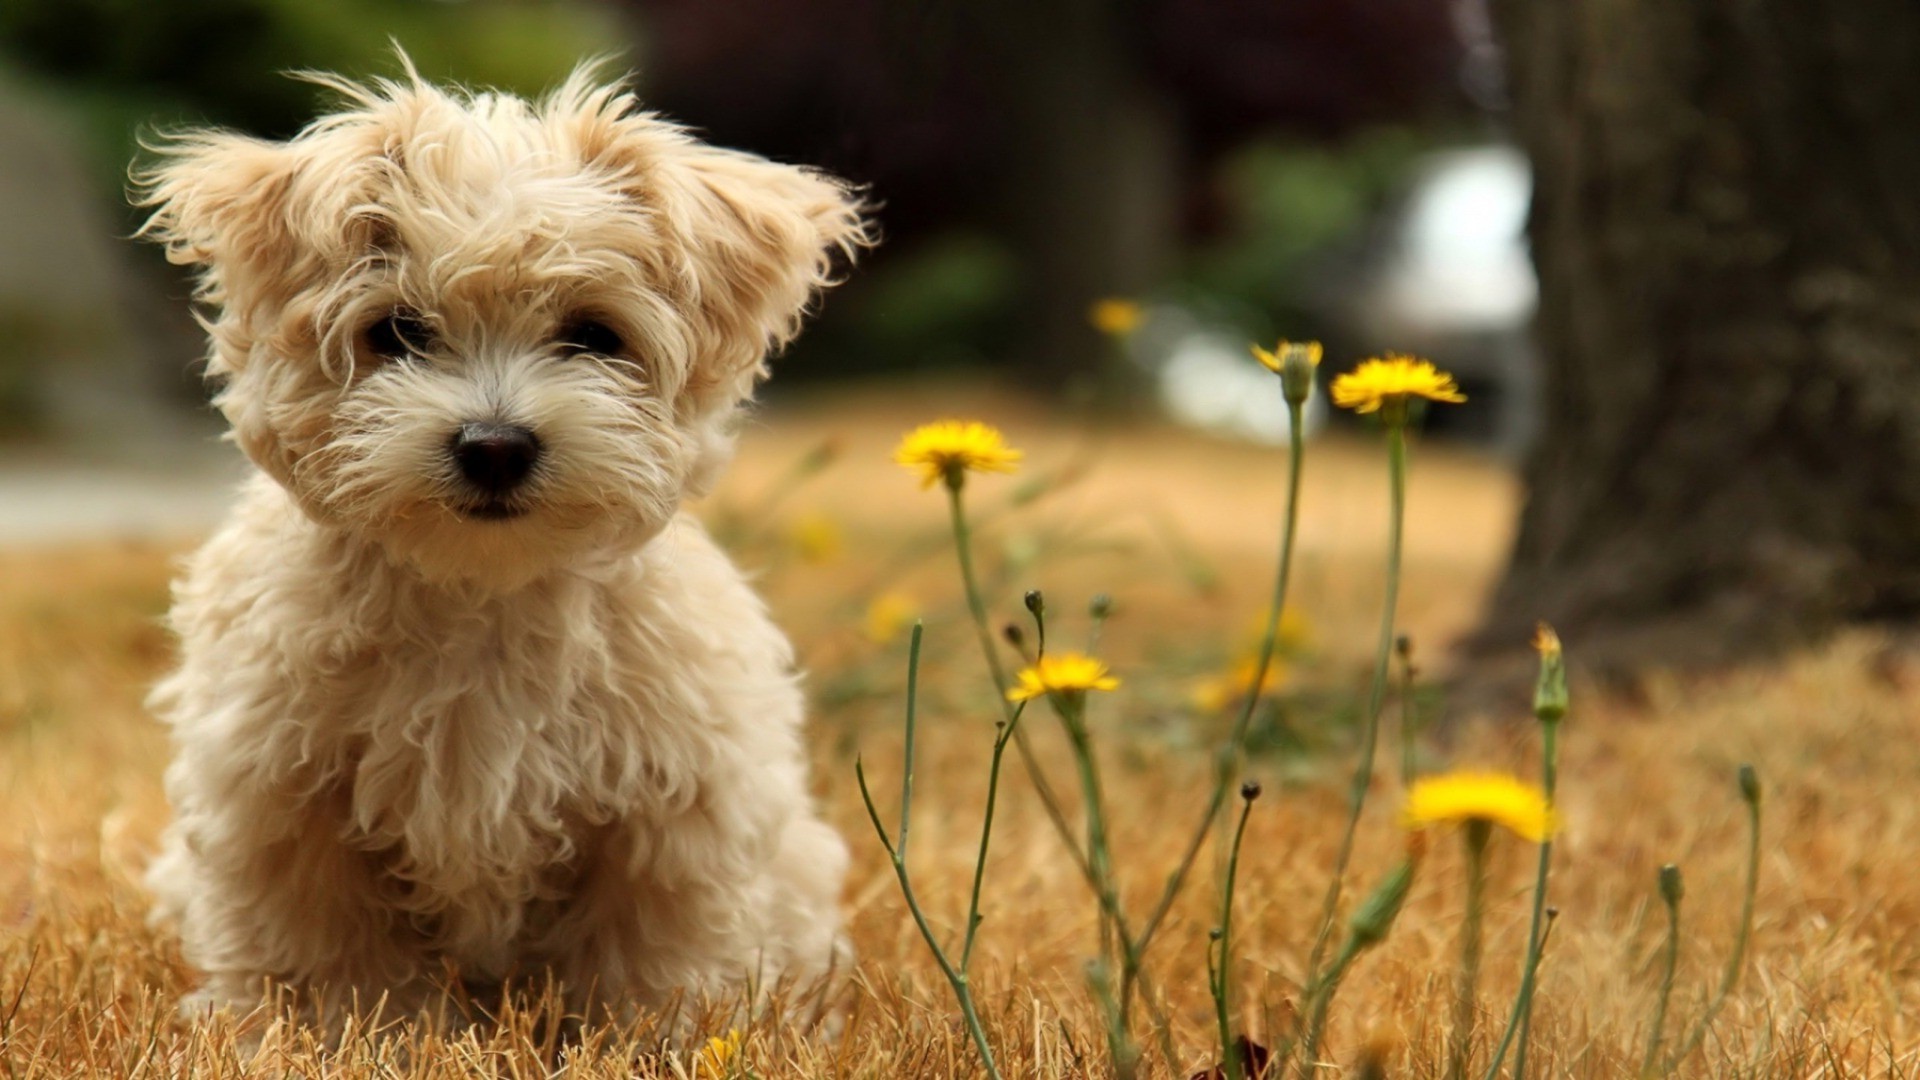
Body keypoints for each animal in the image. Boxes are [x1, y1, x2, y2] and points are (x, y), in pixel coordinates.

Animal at [129, 65, 864, 1022]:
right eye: (398, 332)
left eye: (593, 334)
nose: (495, 445)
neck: (481, 593)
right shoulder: (278, 792)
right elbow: (322, 949)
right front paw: (328, 1030)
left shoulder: (672, 804)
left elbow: (652, 950)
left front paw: (660, 1034)